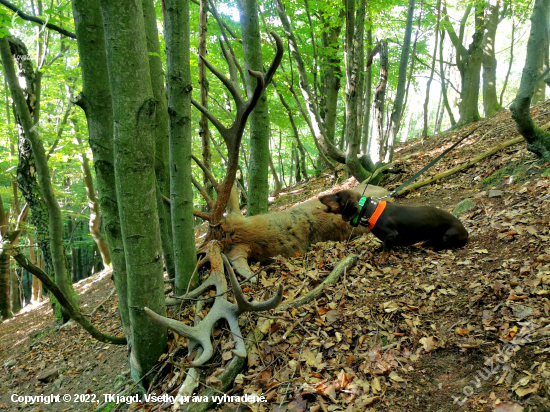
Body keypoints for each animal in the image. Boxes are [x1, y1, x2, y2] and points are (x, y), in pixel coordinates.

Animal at [320, 191, 470, 253]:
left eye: (337, 196)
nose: (320, 196)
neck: (370, 211)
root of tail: (466, 232)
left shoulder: (391, 235)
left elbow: (386, 249)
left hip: (447, 236)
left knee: (440, 245)